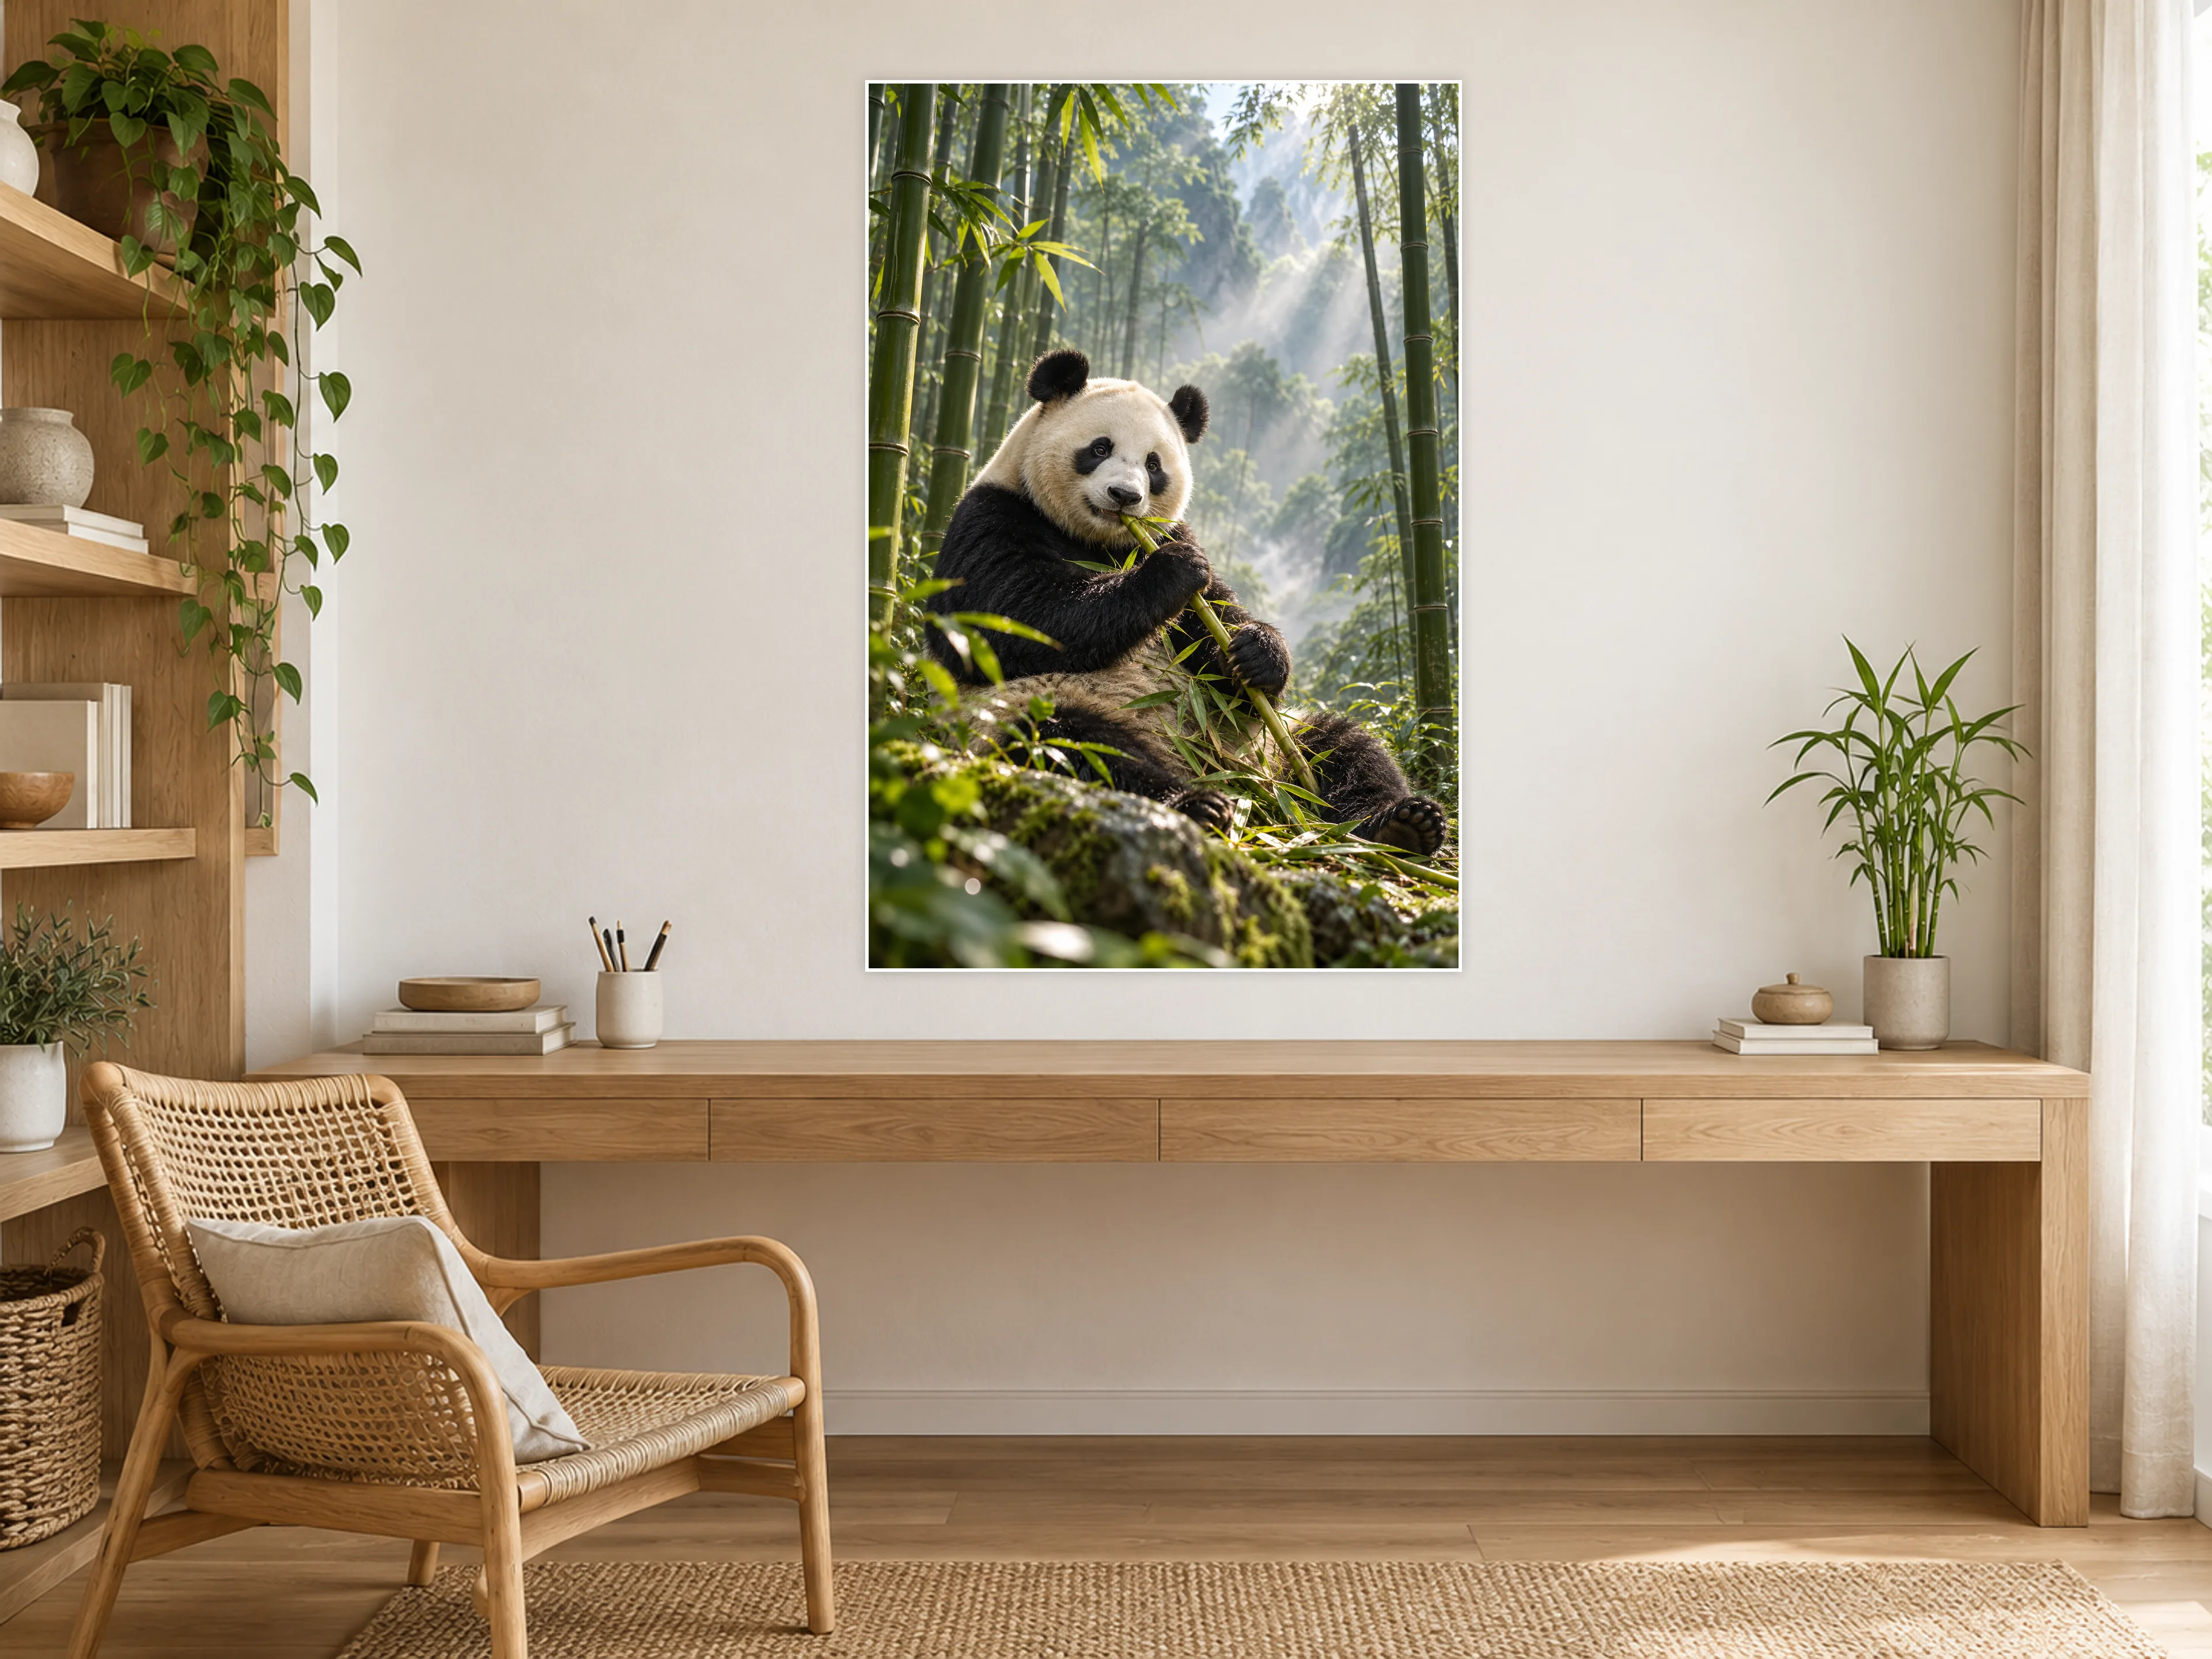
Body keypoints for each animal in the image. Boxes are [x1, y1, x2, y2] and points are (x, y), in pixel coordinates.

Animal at [926, 347, 1449, 858]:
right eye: (1100, 448)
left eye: (1154, 465)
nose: (1125, 496)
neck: (1102, 542)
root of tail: (1239, 785)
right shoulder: (993, 518)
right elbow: (1012, 621)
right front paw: (1172, 573)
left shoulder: (1172, 533)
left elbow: (1214, 624)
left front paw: (1258, 653)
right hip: (1025, 715)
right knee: (1082, 748)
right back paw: (1195, 805)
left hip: (1269, 746)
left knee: (1344, 748)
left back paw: (1399, 825)